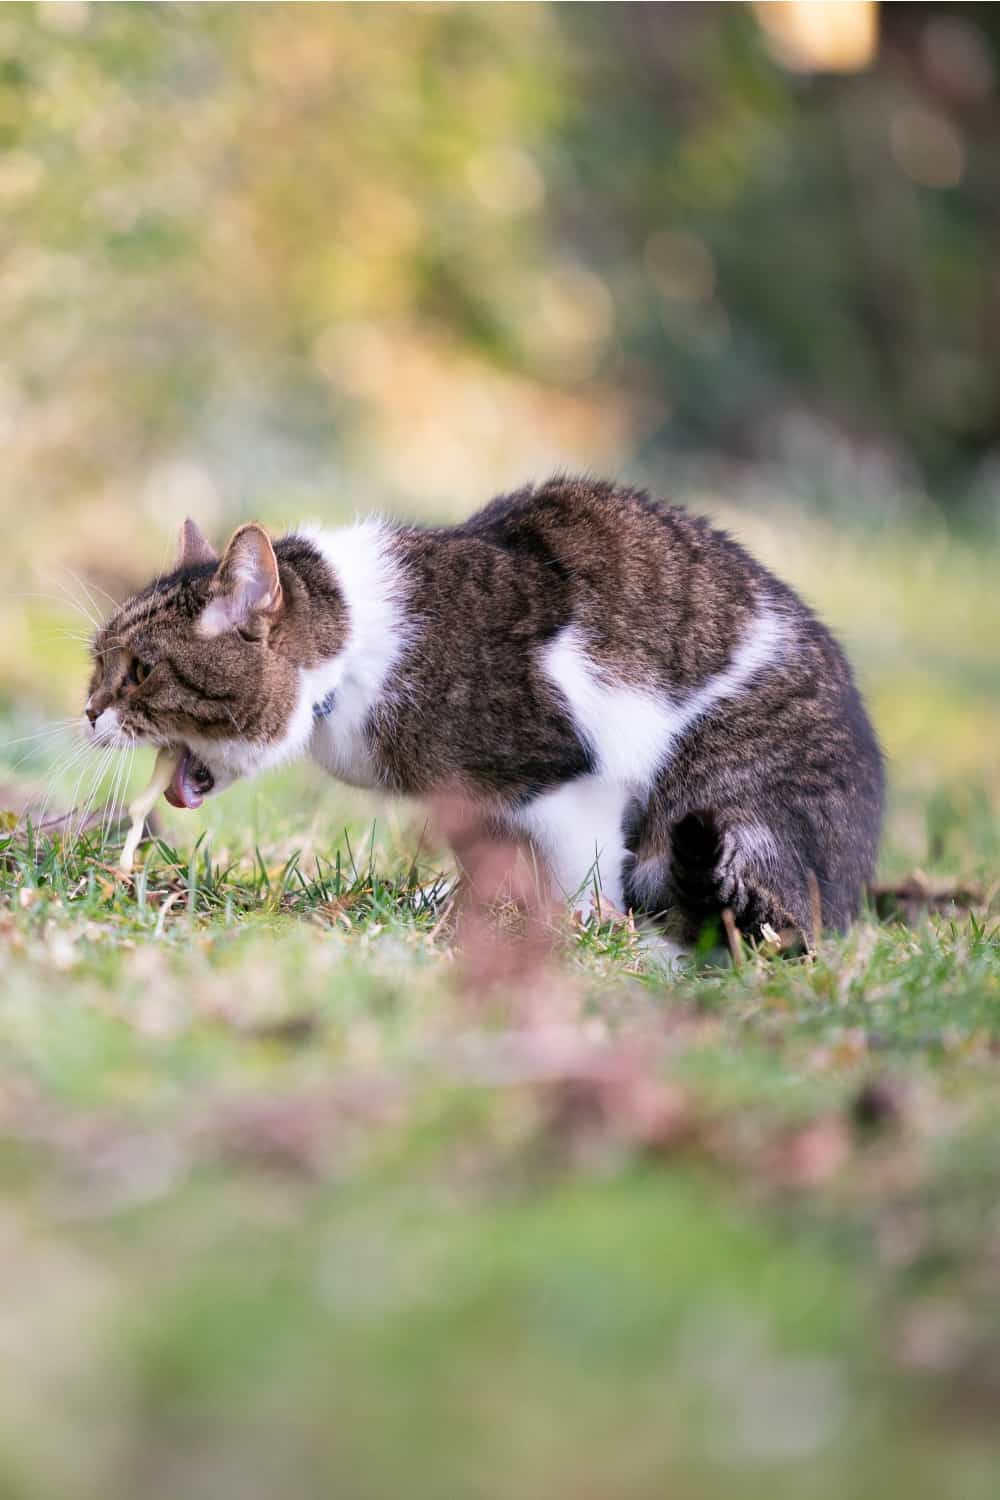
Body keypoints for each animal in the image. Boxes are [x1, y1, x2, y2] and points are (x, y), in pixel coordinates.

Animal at [86, 471, 881, 936]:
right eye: (97, 662)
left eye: (141, 670)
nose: (89, 710)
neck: (357, 649)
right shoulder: (475, 803)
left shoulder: (570, 780)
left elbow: (582, 874)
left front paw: (575, 931)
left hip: (725, 801)